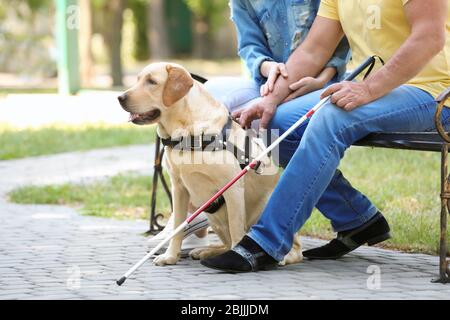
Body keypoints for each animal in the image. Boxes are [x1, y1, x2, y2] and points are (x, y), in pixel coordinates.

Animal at [118, 62, 302, 268]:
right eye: (138, 80)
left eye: (151, 82)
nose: (120, 97)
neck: (186, 130)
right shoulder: (178, 188)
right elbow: (178, 227)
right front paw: (171, 256)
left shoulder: (233, 188)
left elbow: (238, 231)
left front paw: (236, 258)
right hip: (214, 217)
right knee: (227, 242)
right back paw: (206, 251)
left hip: (265, 208)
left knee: (291, 248)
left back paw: (282, 257)